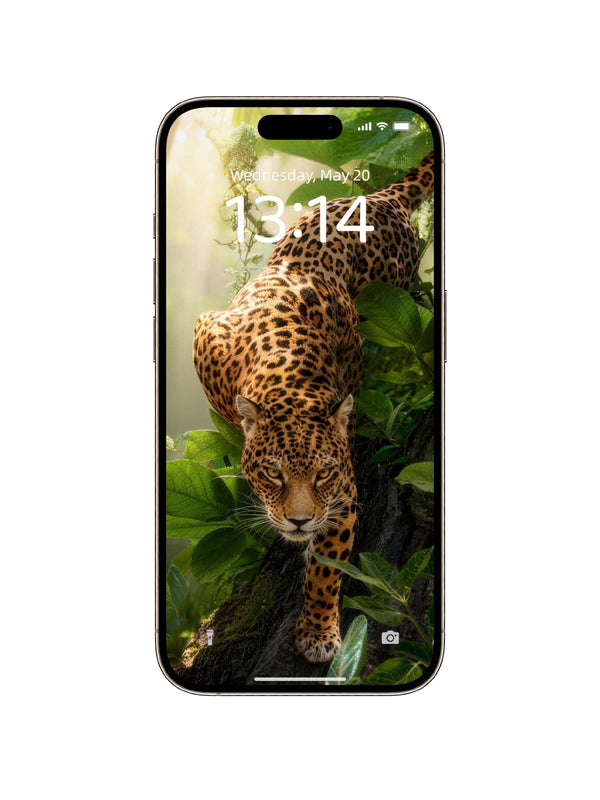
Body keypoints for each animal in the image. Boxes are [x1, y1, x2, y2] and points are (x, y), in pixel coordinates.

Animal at [193, 151, 435, 662]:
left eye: (323, 473)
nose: (299, 520)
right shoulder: (205, 333)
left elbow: (327, 568)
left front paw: (319, 635)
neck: (288, 383)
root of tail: (379, 196)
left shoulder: (341, 496)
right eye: (273, 473)